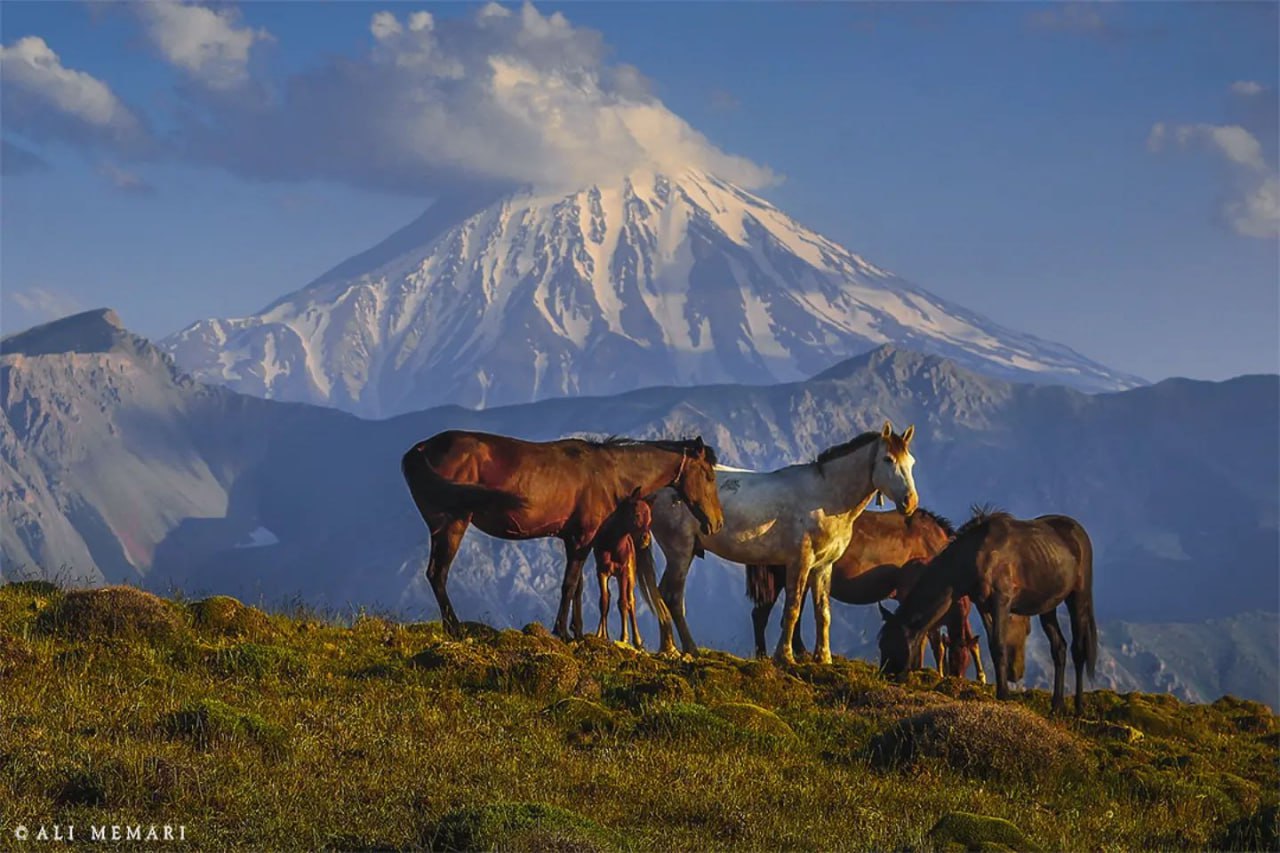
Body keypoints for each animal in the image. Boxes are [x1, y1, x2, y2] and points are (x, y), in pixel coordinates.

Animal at [588, 489, 650, 640]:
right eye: (637, 514)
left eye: (650, 517)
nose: (645, 539)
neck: (612, 543)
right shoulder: (601, 571)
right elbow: (604, 602)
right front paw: (603, 635)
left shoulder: (623, 572)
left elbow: (623, 602)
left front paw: (624, 637)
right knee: (609, 597)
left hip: (631, 574)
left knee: (631, 600)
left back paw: (637, 640)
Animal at [640, 422, 921, 660]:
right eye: (888, 459)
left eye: (911, 462)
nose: (910, 502)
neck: (825, 497)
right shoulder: (799, 561)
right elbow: (793, 608)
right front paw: (785, 656)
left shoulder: (823, 566)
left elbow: (823, 612)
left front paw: (824, 657)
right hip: (680, 551)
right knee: (671, 595)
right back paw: (681, 649)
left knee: (664, 593)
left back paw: (674, 648)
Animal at [880, 504, 1100, 712]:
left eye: (891, 643)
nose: (885, 676)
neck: (977, 555)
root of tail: (1078, 531)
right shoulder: (982, 605)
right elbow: (993, 646)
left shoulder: (1000, 601)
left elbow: (1000, 644)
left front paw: (1003, 694)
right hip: (1048, 606)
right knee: (1059, 647)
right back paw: (1057, 705)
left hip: (1078, 598)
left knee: (1078, 649)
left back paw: (1079, 707)